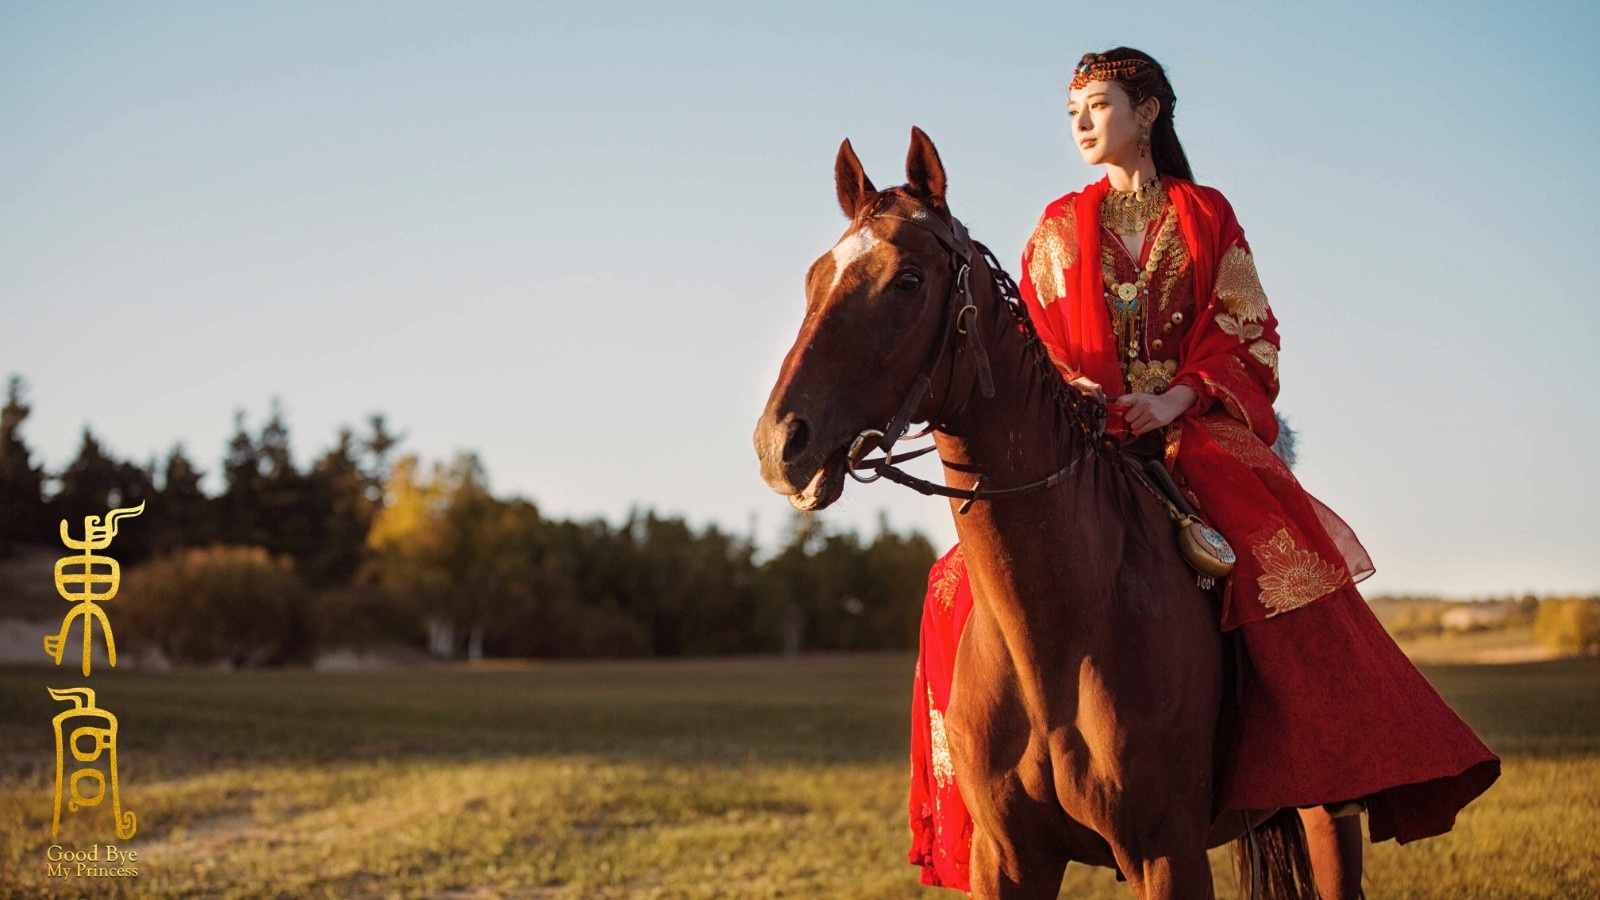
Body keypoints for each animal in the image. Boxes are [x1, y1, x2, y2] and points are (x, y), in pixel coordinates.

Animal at [748, 128, 1324, 896]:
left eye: (908, 280)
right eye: (816, 278)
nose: (780, 443)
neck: (1058, 640)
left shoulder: (1168, 853)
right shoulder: (1008, 857)